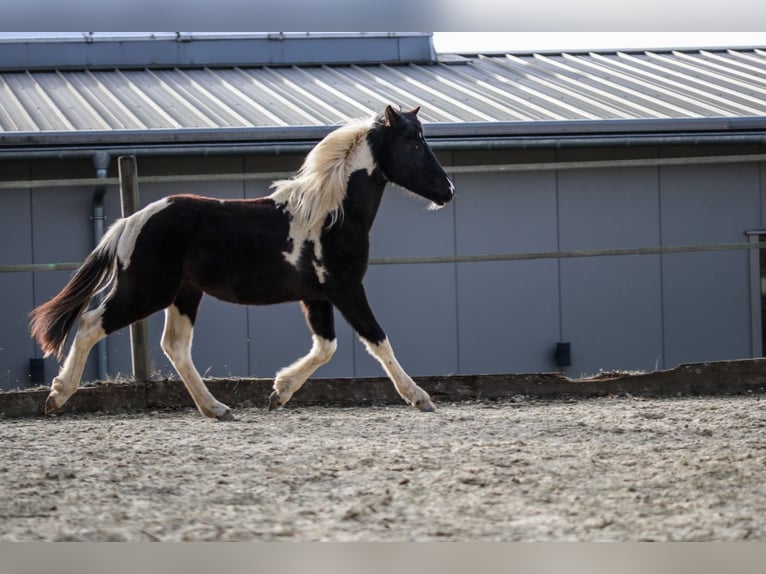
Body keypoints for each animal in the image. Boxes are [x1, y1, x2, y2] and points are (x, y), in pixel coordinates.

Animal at [29, 105, 455, 420]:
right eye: (414, 143)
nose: (448, 191)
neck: (330, 216)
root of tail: (130, 222)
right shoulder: (346, 289)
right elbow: (377, 340)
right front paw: (420, 397)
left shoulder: (316, 296)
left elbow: (326, 348)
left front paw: (279, 392)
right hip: (146, 291)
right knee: (90, 324)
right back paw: (57, 397)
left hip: (184, 295)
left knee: (175, 346)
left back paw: (217, 408)